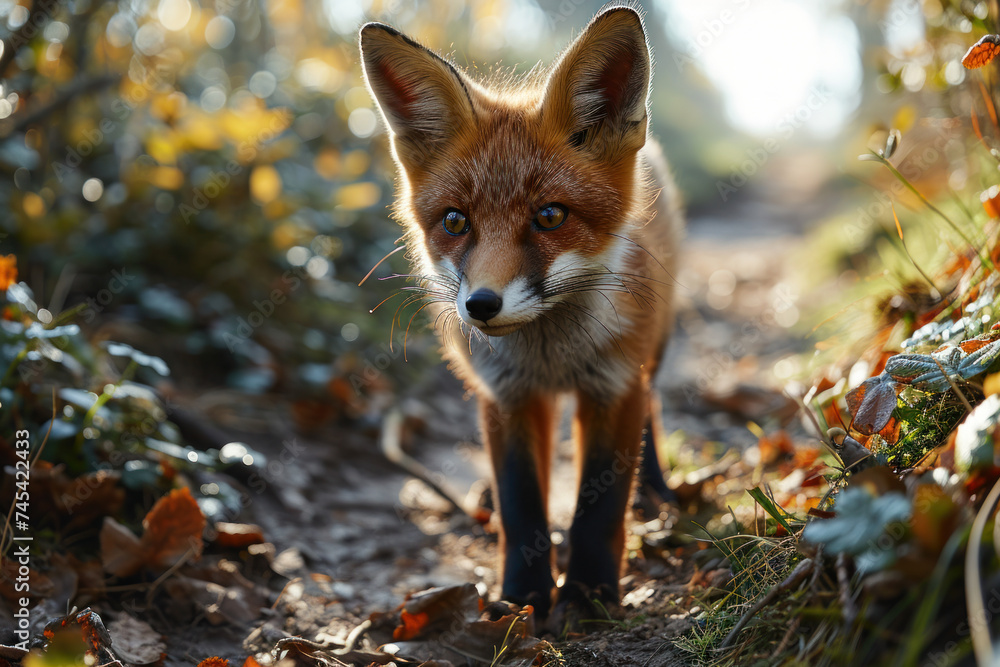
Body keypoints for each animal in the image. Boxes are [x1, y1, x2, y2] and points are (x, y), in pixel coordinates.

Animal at [359, 2, 682, 623]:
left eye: (550, 216)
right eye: (455, 221)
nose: (481, 305)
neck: (550, 355)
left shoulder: (614, 385)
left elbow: (599, 509)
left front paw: (590, 593)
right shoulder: (505, 394)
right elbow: (521, 503)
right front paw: (522, 597)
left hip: (651, 355)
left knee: (654, 410)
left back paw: (656, 489)